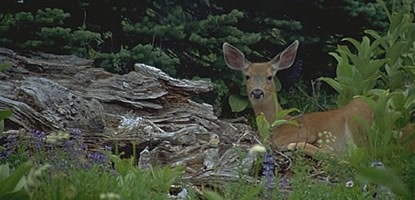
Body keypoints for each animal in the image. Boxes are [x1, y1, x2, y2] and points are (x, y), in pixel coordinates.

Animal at [223, 41, 414, 156]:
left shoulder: (304, 130)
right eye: (247, 76)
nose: (257, 92)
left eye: (270, 77)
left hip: (359, 117)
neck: (276, 123)